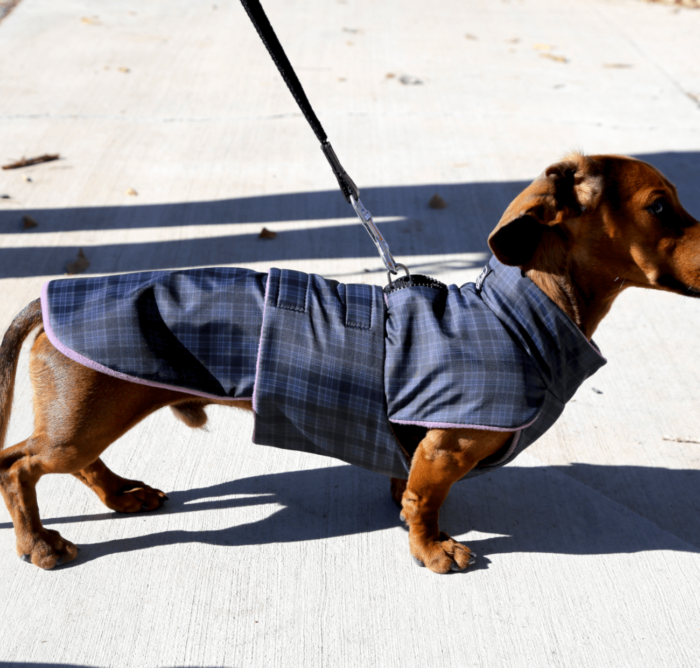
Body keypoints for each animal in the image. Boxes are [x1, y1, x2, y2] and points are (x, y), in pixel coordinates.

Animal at [1, 154, 700, 572]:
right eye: (660, 206)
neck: (514, 314)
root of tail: (48, 295)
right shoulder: (445, 447)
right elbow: (426, 501)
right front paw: (434, 548)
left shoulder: (420, 449)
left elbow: (407, 489)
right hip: (86, 417)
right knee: (19, 466)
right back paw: (39, 544)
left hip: (88, 416)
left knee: (69, 461)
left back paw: (121, 494)